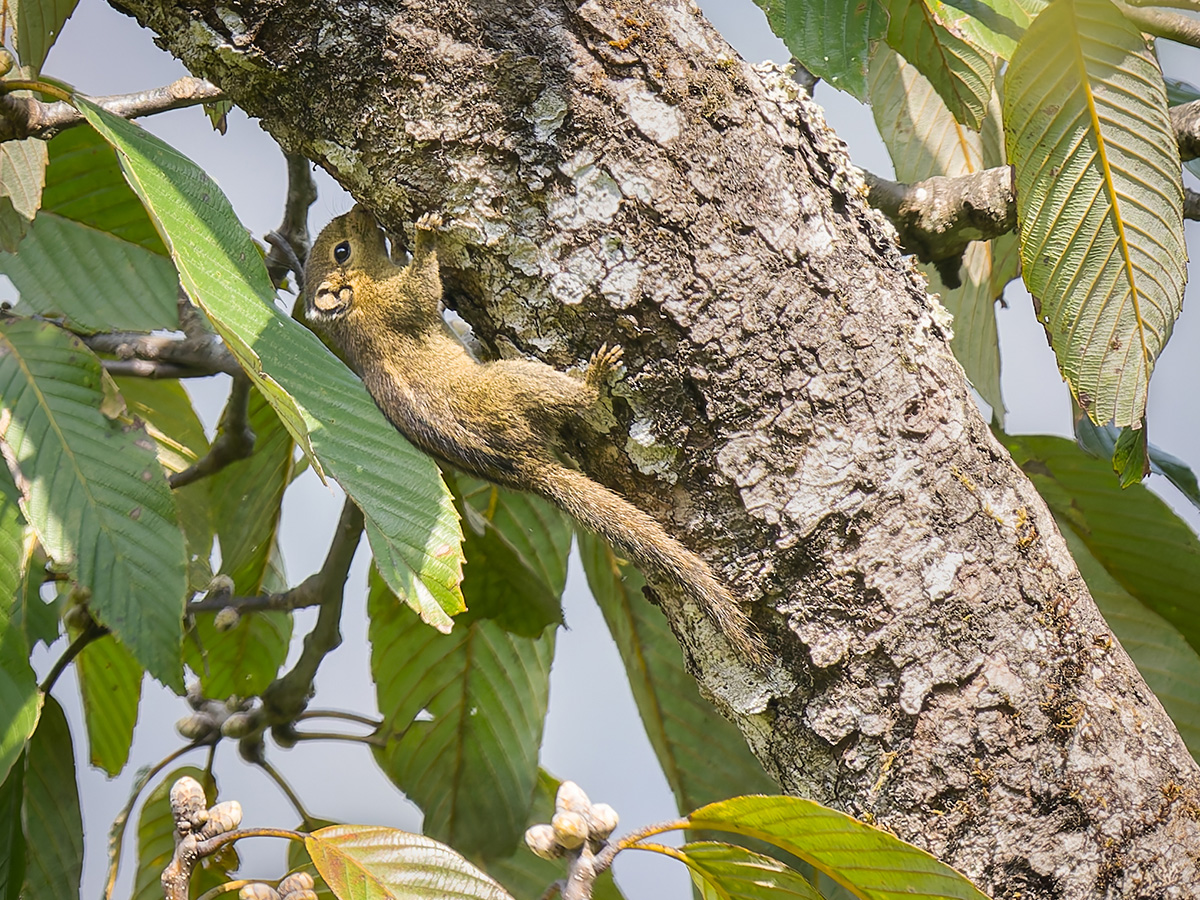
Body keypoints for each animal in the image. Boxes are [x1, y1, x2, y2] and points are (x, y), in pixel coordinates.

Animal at [304, 205, 765, 665]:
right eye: (341, 251)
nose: (357, 209)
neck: (357, 300)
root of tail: (528, 467)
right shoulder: (396, 304)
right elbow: (422, 287)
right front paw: (425, 237)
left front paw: (405, 244)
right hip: (513, 382)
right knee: (570, 397)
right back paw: (593, 381)